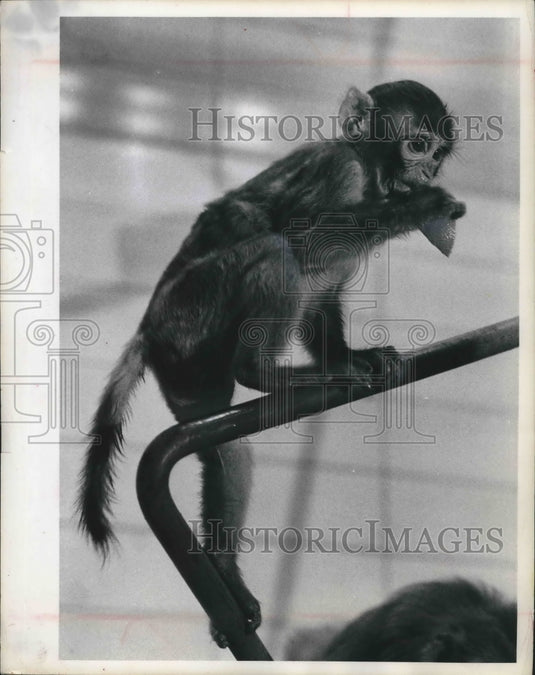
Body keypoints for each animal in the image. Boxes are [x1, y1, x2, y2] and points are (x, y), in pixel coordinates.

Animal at [77, 80, 466, 647]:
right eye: (417, 147)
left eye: (439, 154)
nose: (426, 174)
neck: (369, 171)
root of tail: (150, 328)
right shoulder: (340, 172)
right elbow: (307, 241)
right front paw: (422, 206)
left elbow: (321, 292)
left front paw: (354, 355)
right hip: (193, 309)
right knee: (276, 250)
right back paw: (263, 373)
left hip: (187, 366)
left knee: (227, 450)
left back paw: (225, 573)